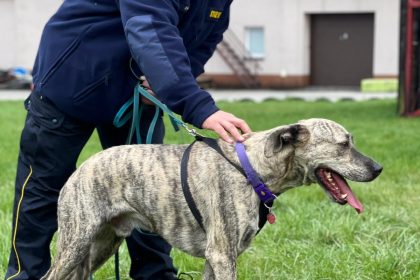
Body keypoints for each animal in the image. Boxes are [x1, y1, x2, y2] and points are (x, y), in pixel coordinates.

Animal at [41, 118, 380, 280]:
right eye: (343, 145)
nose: (378, 168)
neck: (251, 168)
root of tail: (79, 169)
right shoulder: (222, 256)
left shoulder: (213, 258)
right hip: (75, 242)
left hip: (102, 244)